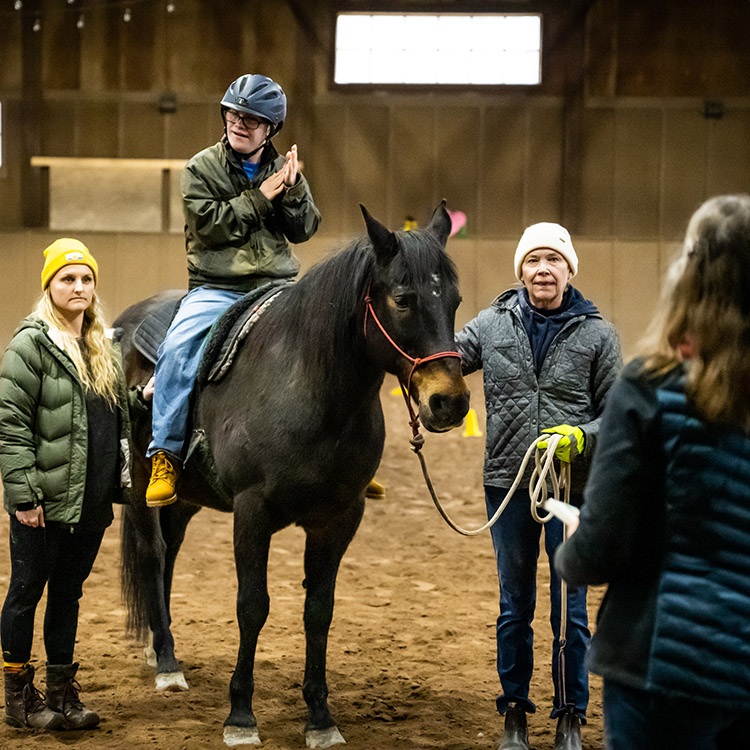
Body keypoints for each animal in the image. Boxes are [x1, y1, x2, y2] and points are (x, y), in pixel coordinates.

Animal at [117, 203, 470, 748]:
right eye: (403, 299)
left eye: (454, 300)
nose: (449, 402)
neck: (308, 387)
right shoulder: (252, 511)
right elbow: (252, 606)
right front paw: (241, 715)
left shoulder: (339, 518)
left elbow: (318, 612)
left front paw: (320, 718)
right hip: (138, 483)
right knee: (154, 555)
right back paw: (168, 665)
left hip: (185, 497)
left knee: (170, 553)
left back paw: (162, 648)